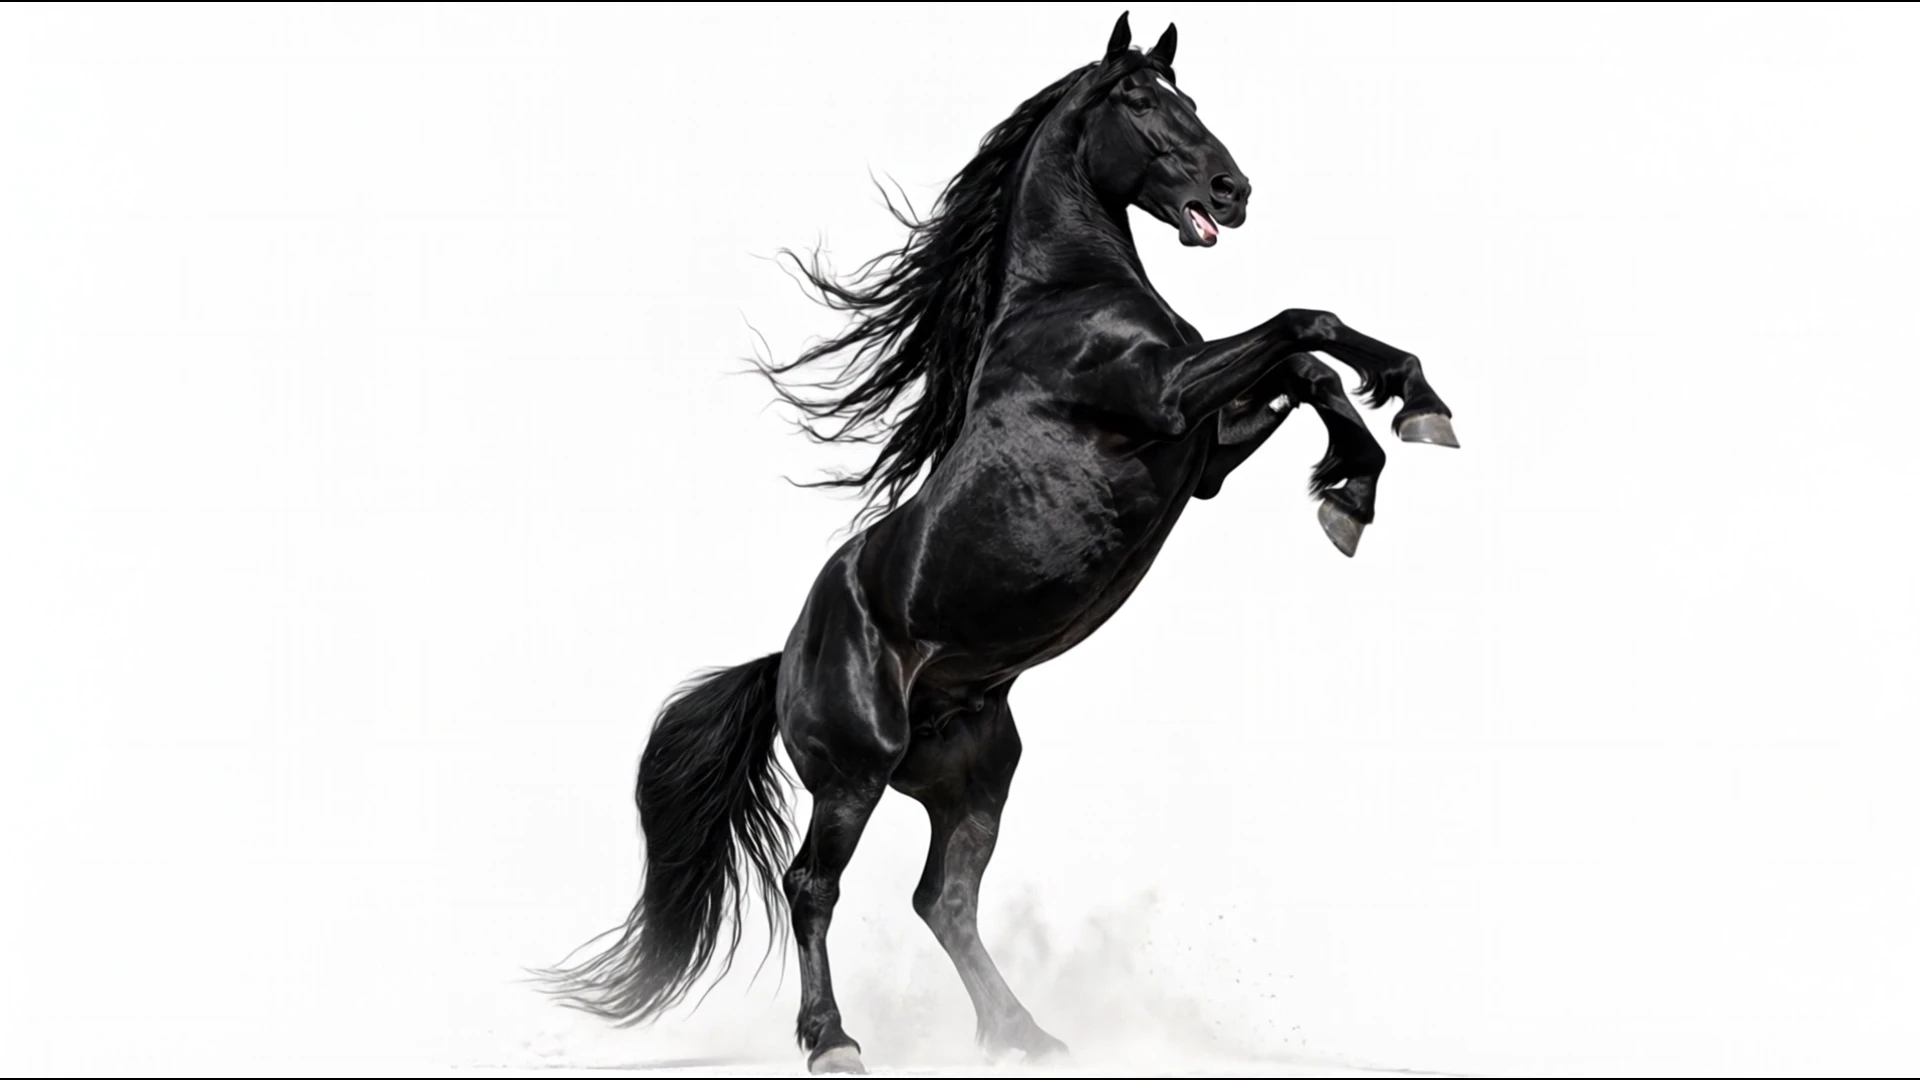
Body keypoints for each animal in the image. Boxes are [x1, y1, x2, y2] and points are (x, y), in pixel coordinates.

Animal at [534, 12, 1457, 1074]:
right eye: (1139, 99)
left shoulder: (1204, 454)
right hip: (854, 772)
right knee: (813, 887)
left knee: (944, 898)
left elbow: (1309, 368)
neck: (1067, 295)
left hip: (977, 774)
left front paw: (1366, 470)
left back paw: (1026, 1035)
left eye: (1190, 97)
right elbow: (1305, 322)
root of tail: (785, 660)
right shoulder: (1165, 399)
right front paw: (1403, 424)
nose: (1235, 192)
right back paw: (834, 1040)